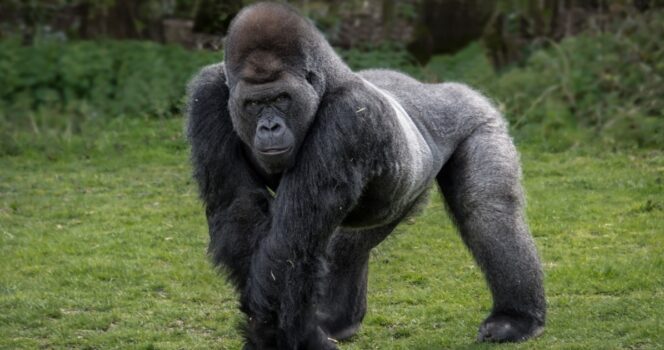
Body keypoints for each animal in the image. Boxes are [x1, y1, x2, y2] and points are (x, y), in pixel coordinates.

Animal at [185, 3, 544, 350]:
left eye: (281, 98)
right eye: (253, 103)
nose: (269, 127)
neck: (326, 80)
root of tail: (444, 87)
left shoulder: (348, 117)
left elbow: (290, 244)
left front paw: (284, 338)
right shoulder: (208, 95)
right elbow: (240, 209)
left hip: (479, 117)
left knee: (487, 209)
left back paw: (516, 317)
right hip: (405, 188)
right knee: (351, 238)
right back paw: (337, 318)